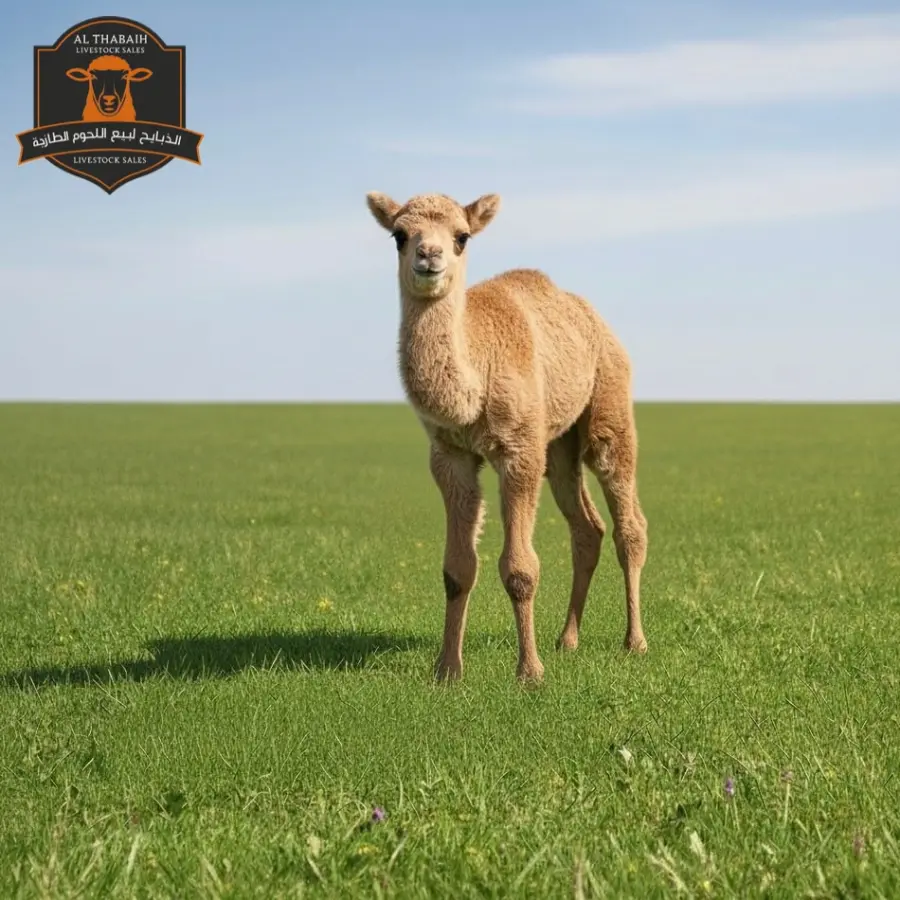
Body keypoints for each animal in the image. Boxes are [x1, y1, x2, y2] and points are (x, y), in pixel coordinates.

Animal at [365, 191, 648, 682]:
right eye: (399, 235)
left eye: (461, 236)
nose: (429, 255)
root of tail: (595, 317)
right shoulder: (450, 455)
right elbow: (457, 569)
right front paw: (447, 670)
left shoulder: (518, 451)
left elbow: (520, 569)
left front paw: (529, 673)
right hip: (558, 443)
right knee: (586, 527)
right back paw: (567, 639)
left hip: (608, 403)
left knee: (627, 521)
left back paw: (634, 642)